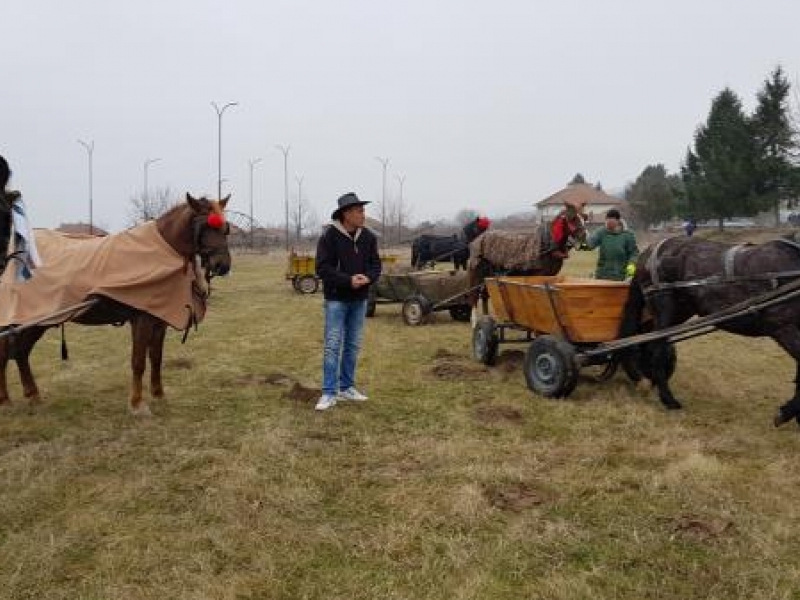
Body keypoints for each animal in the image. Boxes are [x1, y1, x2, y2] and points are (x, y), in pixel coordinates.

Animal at [0, 195, 231, 414]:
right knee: (7, 351)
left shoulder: (160, 319)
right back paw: (6, 401)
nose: (223, 266)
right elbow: (138, 362)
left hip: (36, 323)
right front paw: (137, 404)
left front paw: (159, 395)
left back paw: (33, 396)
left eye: (225, 228)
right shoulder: (141, 319)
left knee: (21, 353)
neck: (159, 251)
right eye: (205, 226)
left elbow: (156, 358)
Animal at [620, 234, 800, 426]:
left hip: (680, 310)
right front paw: (786, 412)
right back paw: (668, 399)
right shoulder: (784, 328)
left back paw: (642, 379)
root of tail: (648, 252)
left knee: (642, 340)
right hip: (665, 307)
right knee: (655, 348)